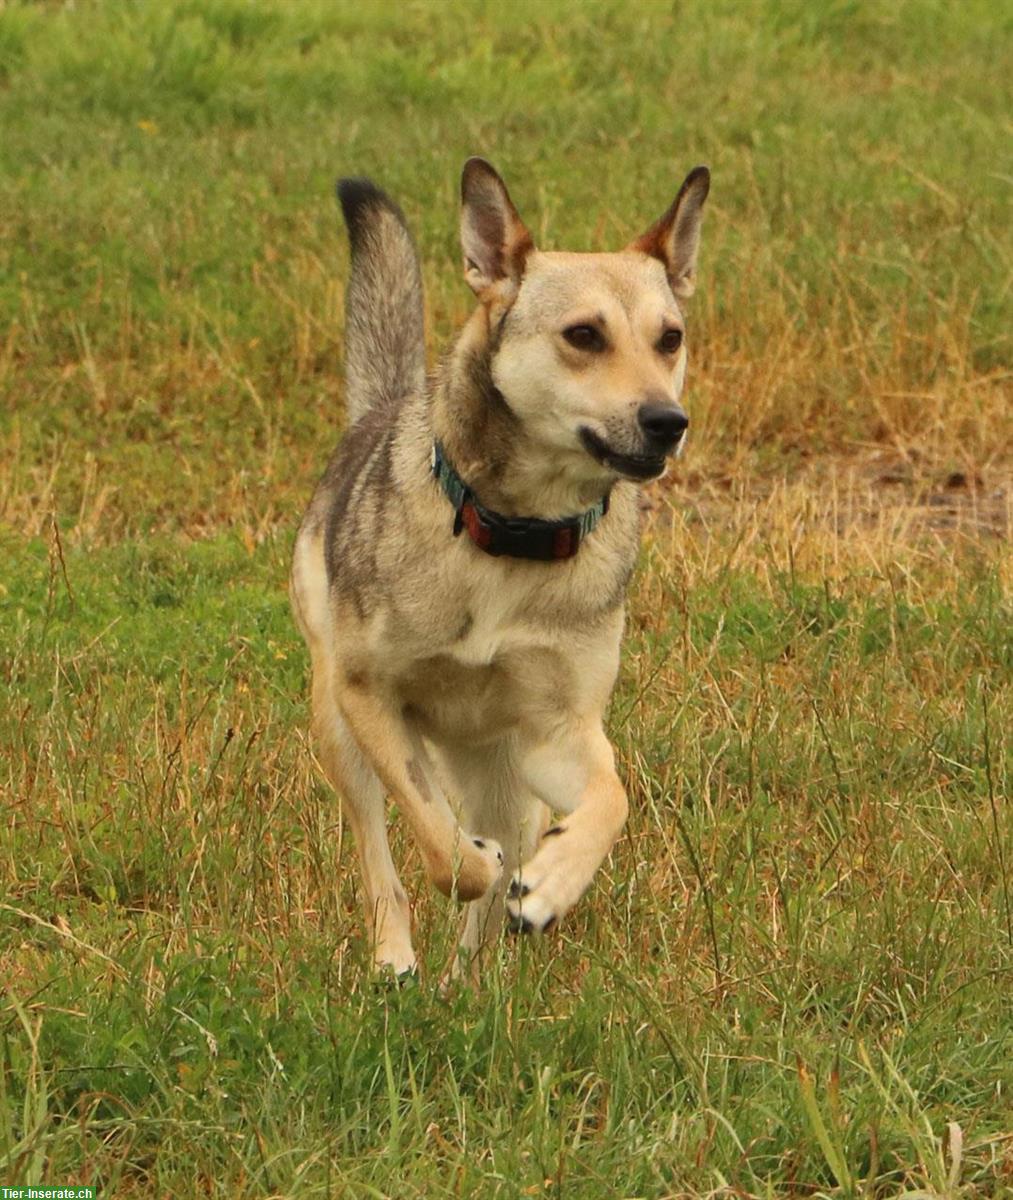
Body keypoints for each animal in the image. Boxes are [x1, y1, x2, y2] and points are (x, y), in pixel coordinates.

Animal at [289, 157, 710, 974]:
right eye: (583, 335)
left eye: (669, 338)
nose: (667, 423)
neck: (516, 535)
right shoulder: (369, 697)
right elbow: (442, 849)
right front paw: (472, 864)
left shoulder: (558, 731)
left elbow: (611, 801)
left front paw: (551, 886)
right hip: (336, 723)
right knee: (381, 856)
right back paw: (398, 961)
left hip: (508, 775)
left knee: (497, 866)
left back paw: (473, 976)